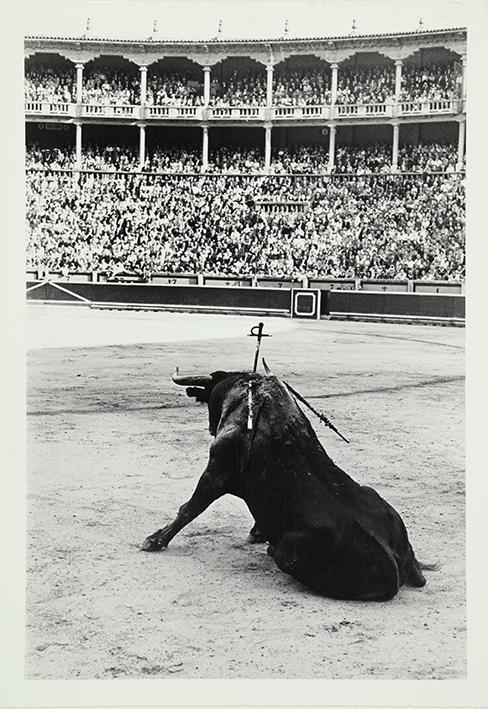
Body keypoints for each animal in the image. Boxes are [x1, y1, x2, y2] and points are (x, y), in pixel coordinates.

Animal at [143, 368, 426, 600]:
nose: (211, 427)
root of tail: (395, 562)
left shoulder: (215, 473)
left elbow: (190, 508)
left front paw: (154, 541)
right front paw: (257, 533)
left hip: (287, 554)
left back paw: (271, 548)